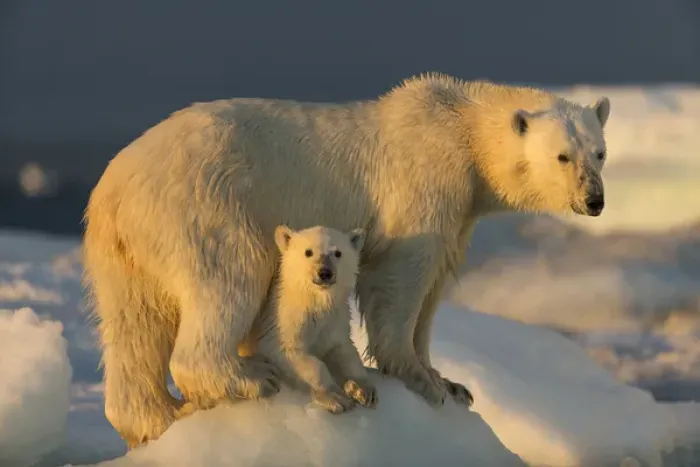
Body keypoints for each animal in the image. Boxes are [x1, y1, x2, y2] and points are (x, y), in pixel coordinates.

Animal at [238, 224, 377, 414]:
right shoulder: (282, 322)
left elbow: (344, 350)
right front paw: (336, 397)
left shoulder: (335, 321)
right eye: (308, 252)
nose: (325, 272)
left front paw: (363, 389)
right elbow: (295, 354)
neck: (314, 301)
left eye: (338, 253)